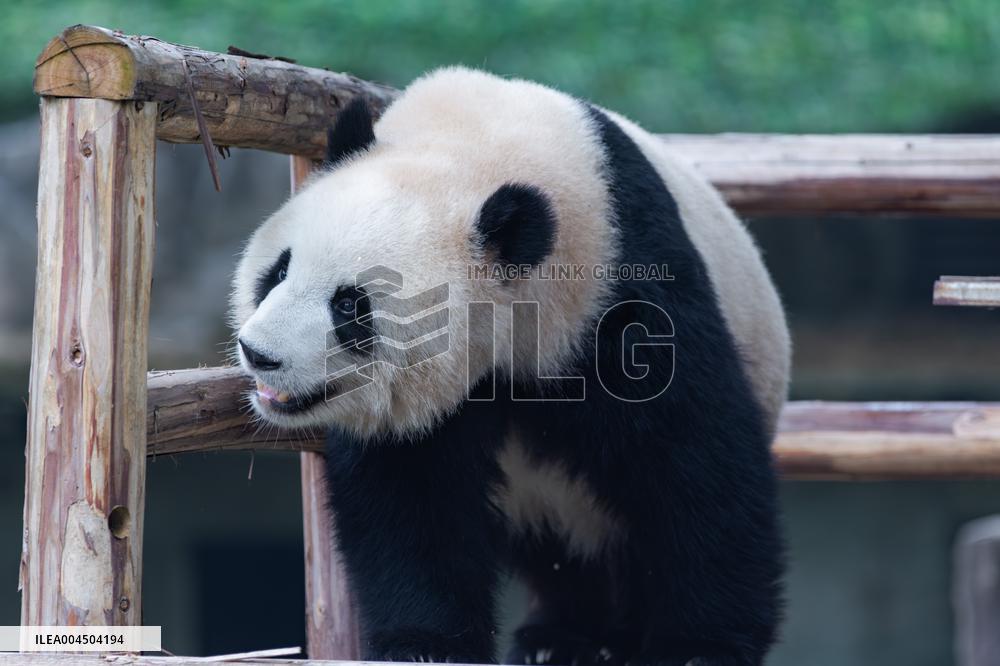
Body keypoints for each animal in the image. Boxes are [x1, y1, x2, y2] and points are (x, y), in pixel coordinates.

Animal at [231, 67, 790, 666]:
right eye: (279, 270)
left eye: (351, 306)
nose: (260, 353)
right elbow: (411, 497)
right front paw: (426, 645)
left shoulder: (624, 286)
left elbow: (693, 460)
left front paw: (699, 648)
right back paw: (562, 638)